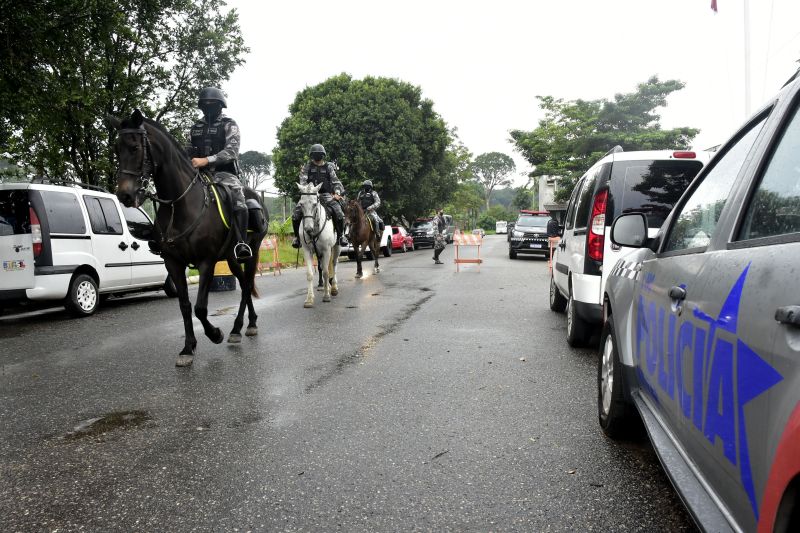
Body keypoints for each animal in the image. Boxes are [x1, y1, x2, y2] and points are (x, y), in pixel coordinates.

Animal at [106, 108, 270, 366]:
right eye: (116, 149)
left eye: (134, 147)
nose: (125, 195)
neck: (179, 204)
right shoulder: (173, 263)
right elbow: (184, 305)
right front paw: (187, 348)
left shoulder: (206, 262)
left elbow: (200, 308)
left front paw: (214, 334)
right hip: (231, 258)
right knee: (245, 283)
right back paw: (242, 326)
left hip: (250, 253)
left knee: (246, 286)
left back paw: (240, 327)